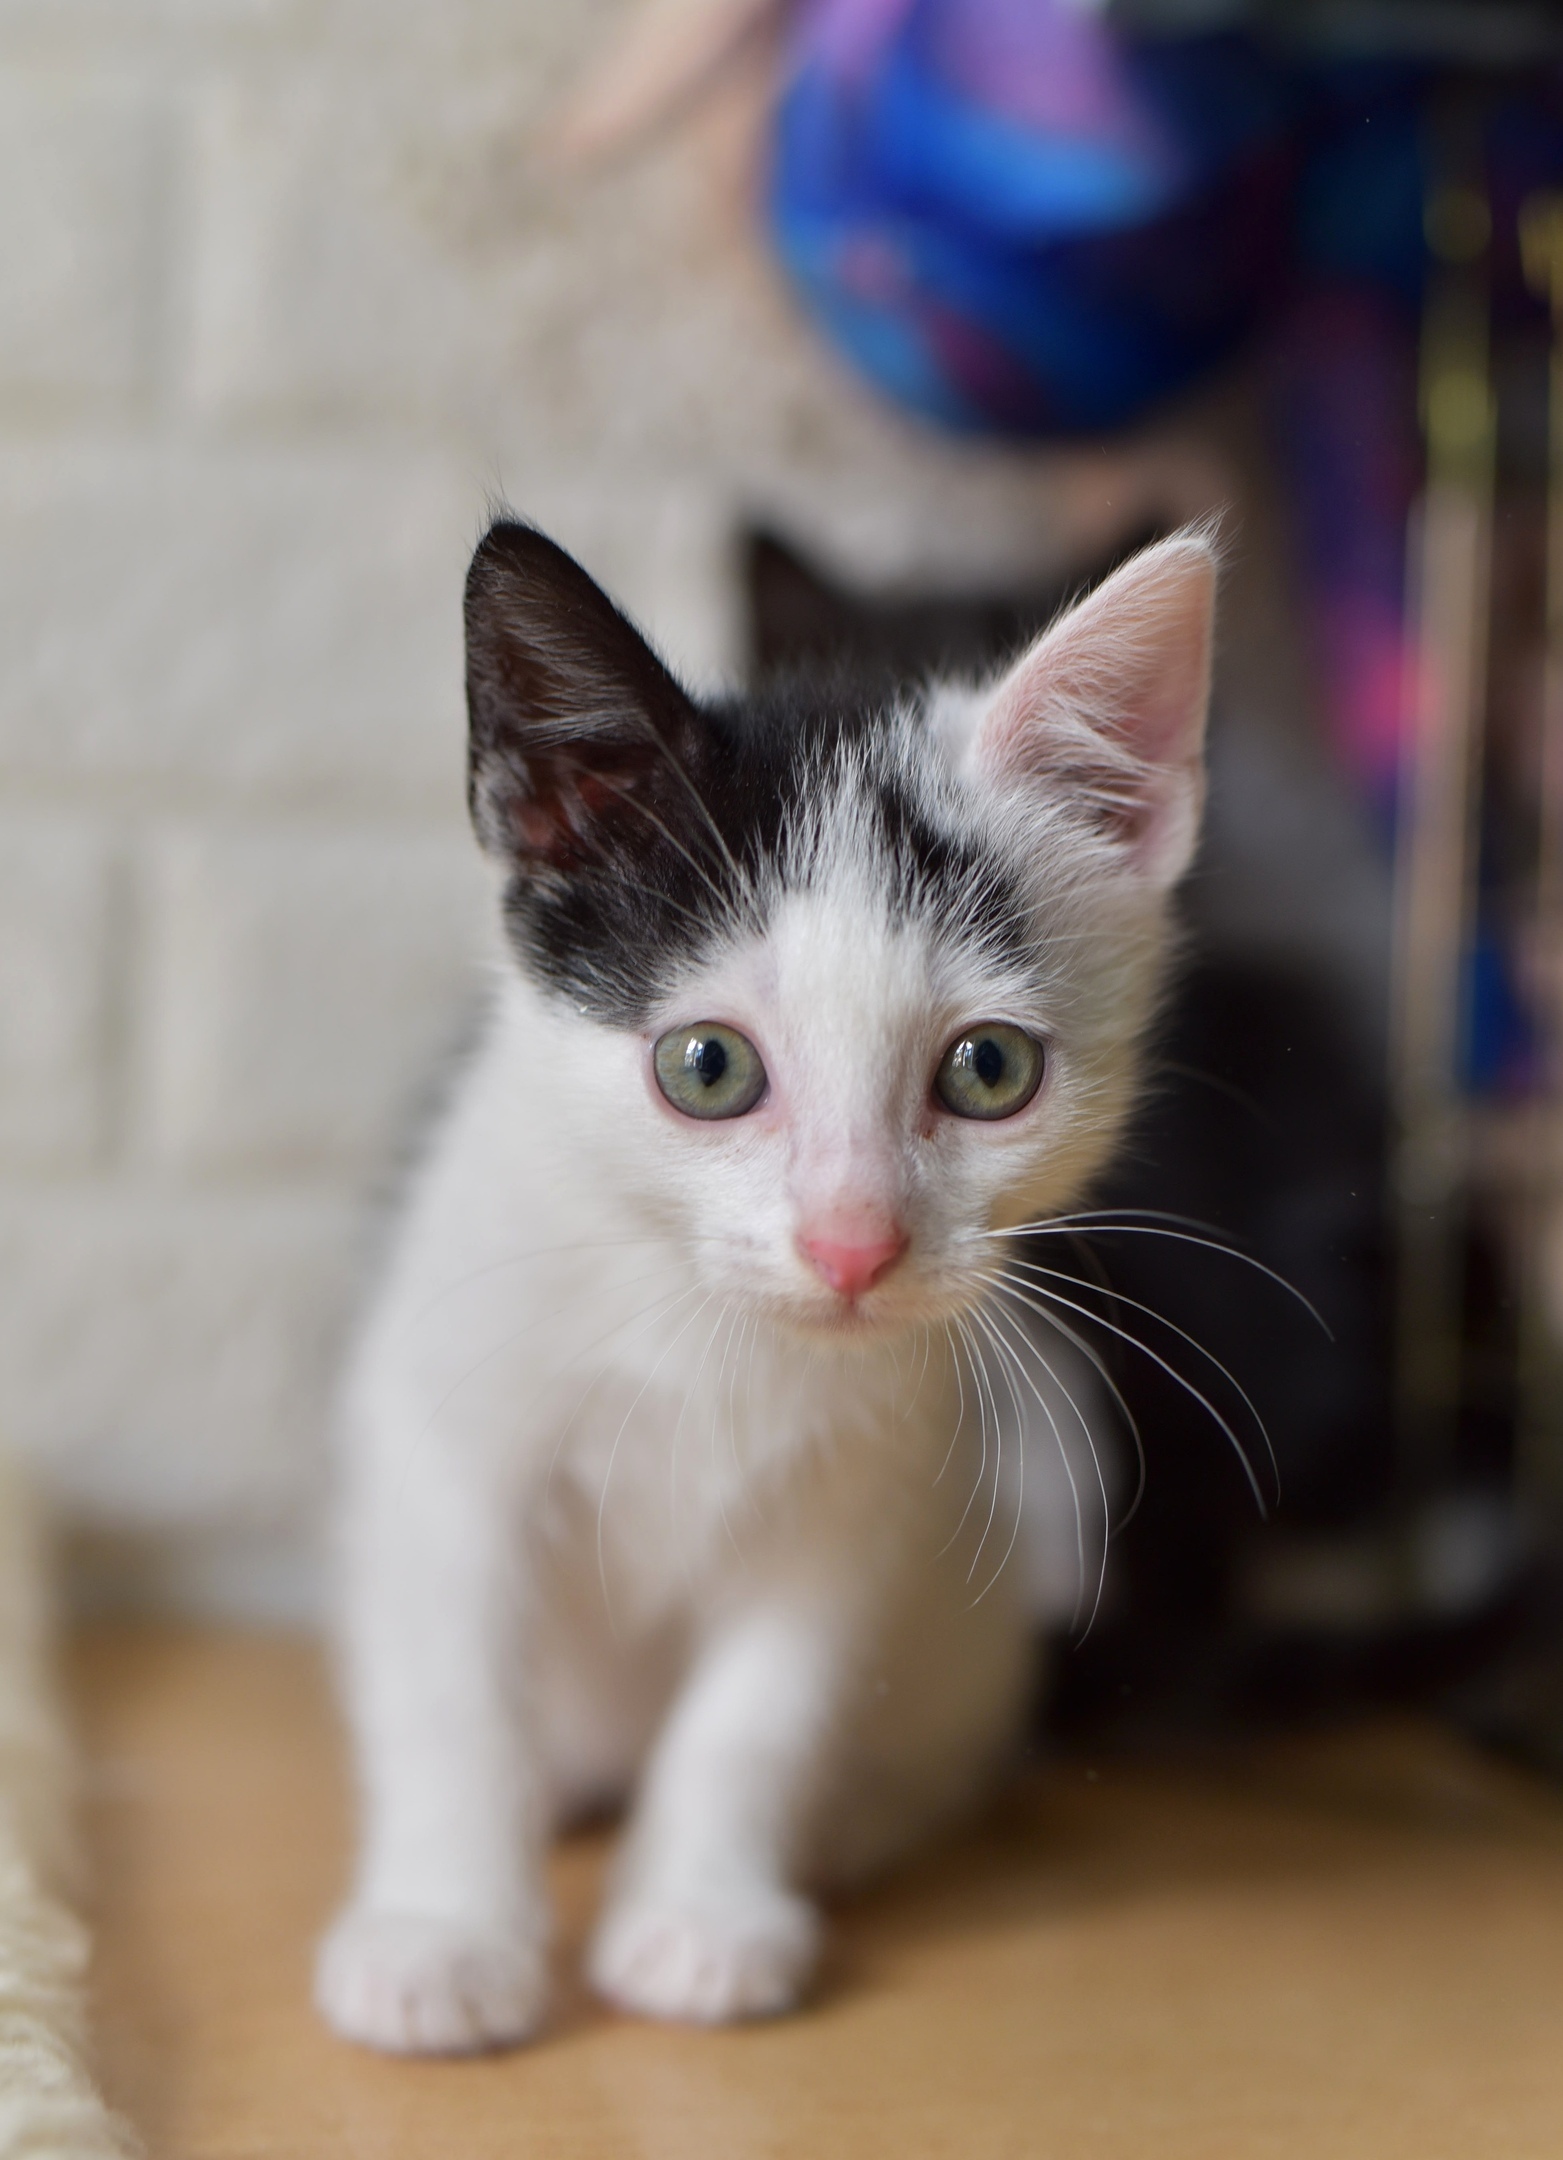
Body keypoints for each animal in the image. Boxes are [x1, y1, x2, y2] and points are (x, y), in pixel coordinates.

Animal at [317, 514, 1217, 2047]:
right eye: (706, 1066)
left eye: (989, 1069)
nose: (852, 1242)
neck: (709, 1328)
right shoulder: (443, 1445)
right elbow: (453, 1696)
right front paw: (443, 1937)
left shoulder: (858, 1503)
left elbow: (757, 1721)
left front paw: (697, 1922)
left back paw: (848, 1829)